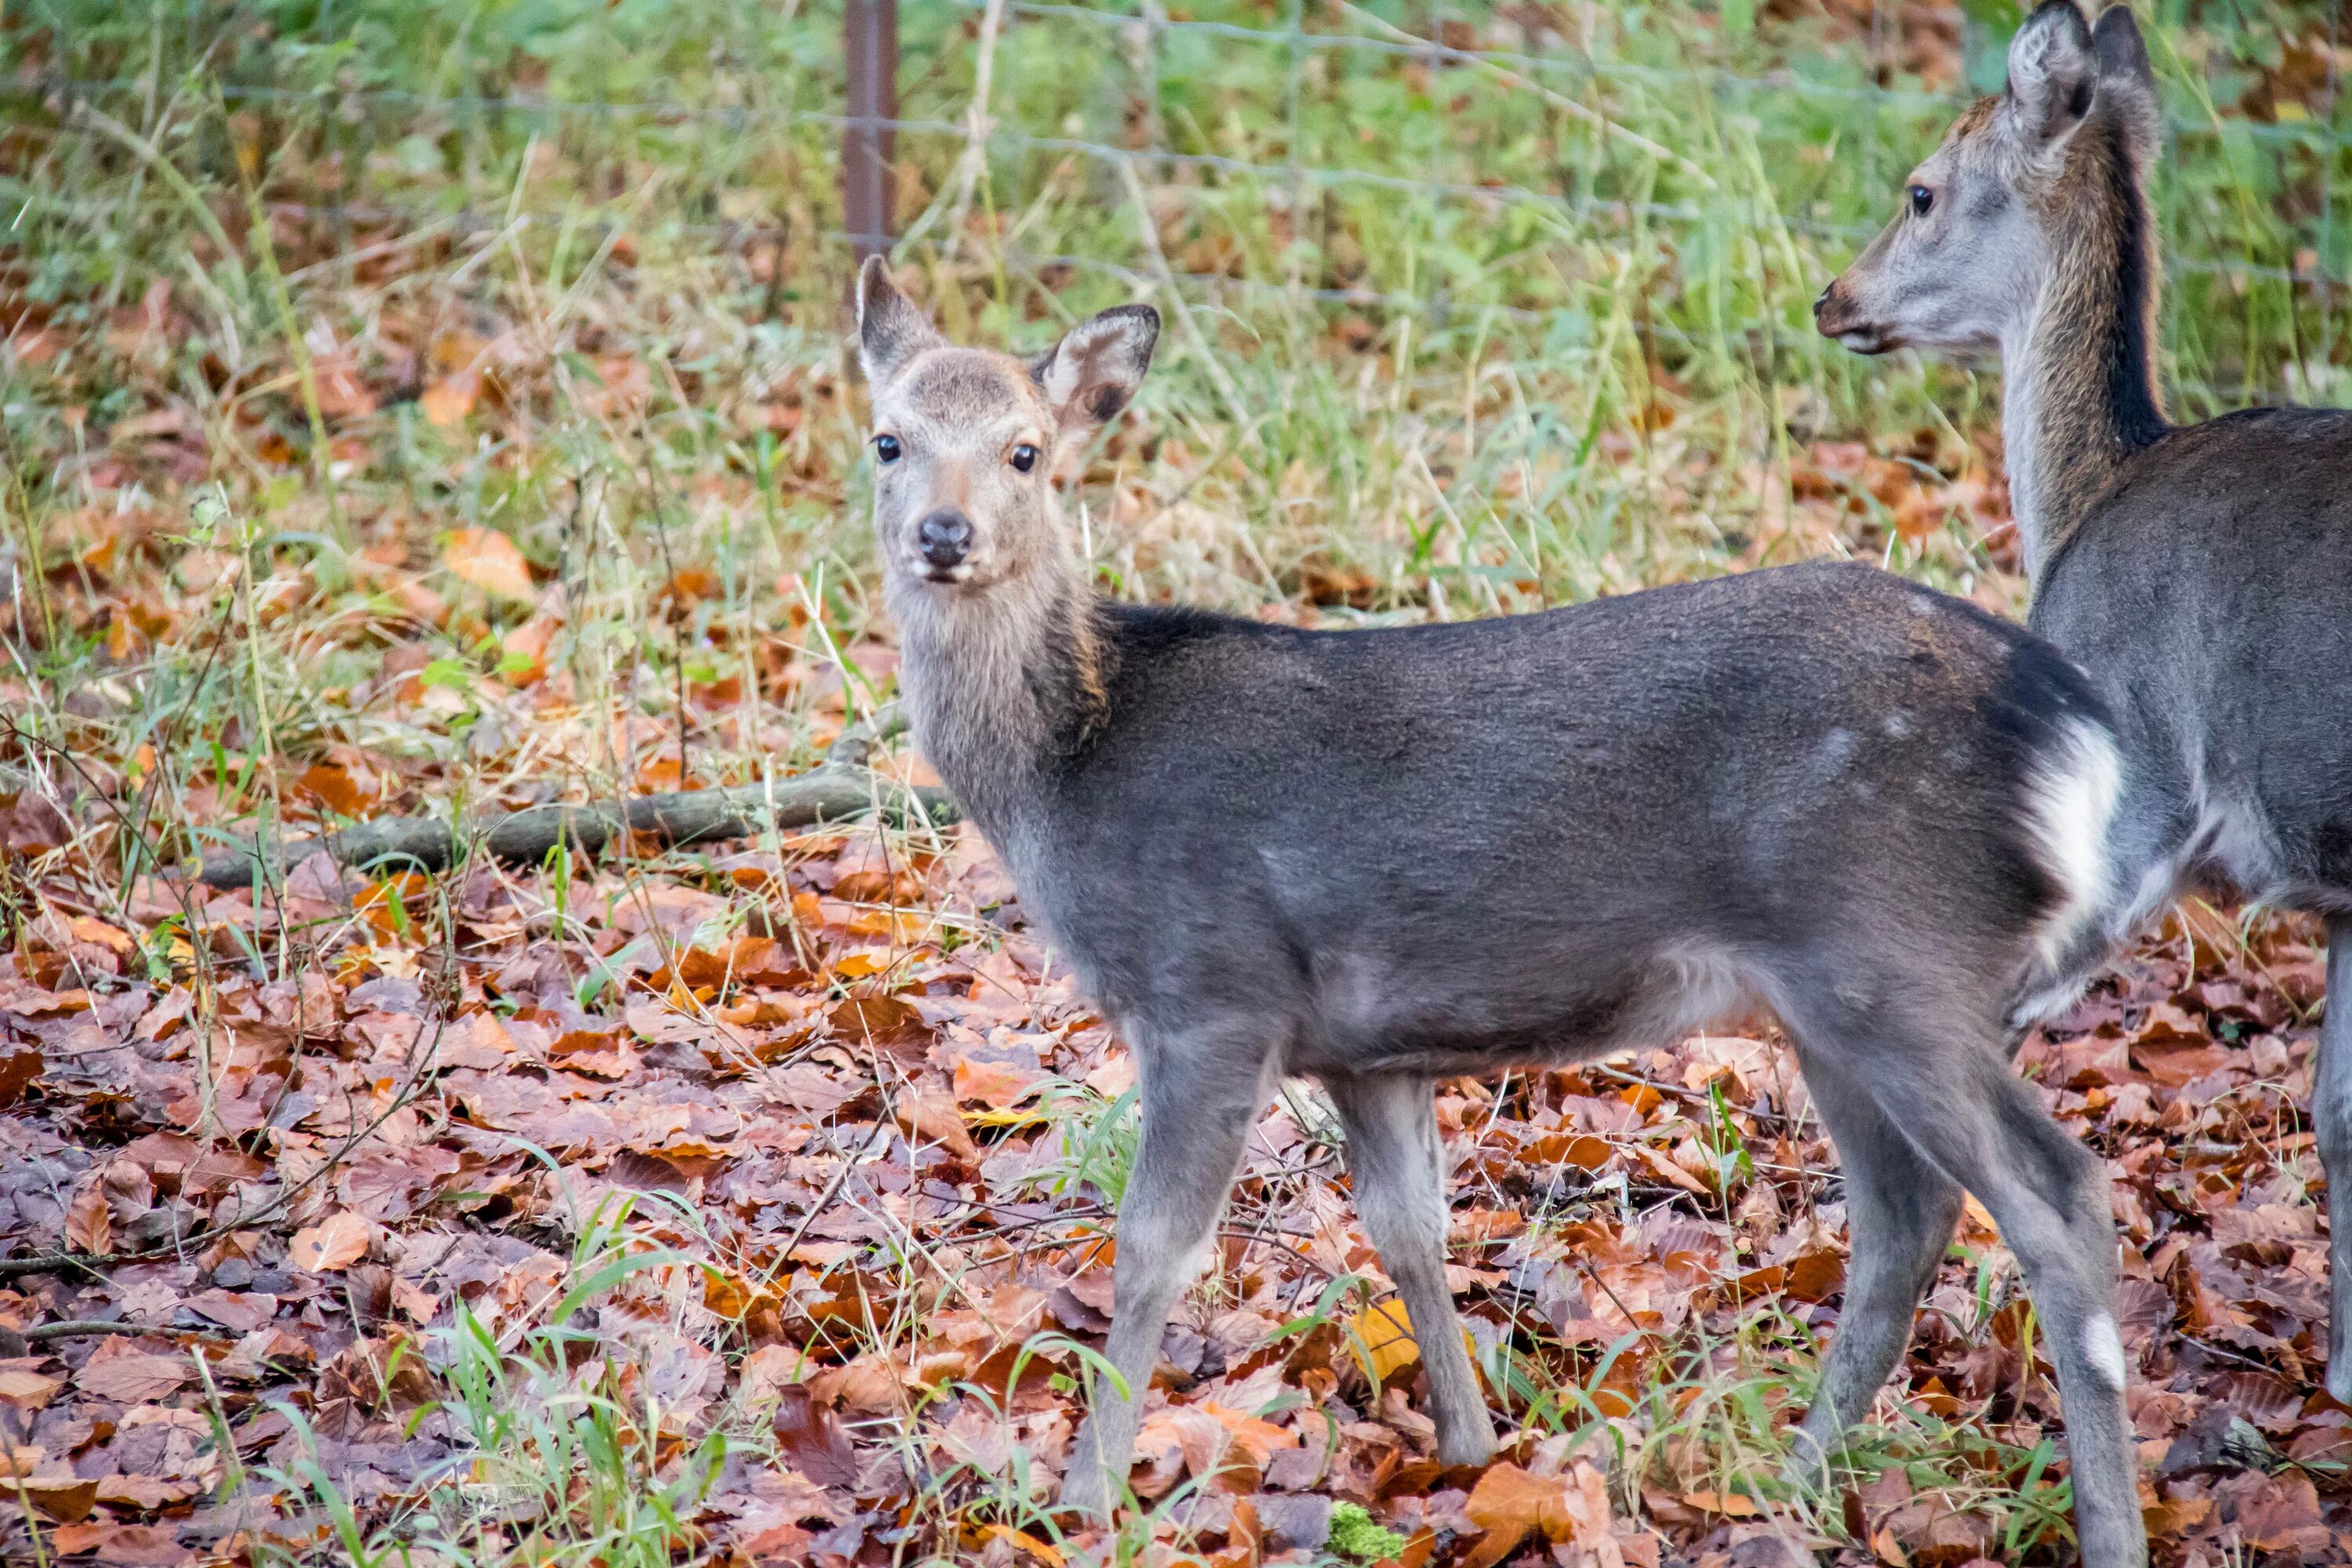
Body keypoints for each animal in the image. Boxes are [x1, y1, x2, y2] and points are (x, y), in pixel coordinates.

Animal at [866, 251, 2154, 1561]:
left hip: (1897, 956)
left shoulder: (1211, 993)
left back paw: (2099, 1523)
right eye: (889, 440)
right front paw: (1470, 1447)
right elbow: (1408, 1228)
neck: (1076, 763)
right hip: (1839, 998)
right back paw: (1791, 1476)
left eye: (1027, 451)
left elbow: (1151, 1251)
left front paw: (1084, 1499)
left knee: (2058, 1200)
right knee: (1907, 1218)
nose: (943, 533)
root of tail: (2077, 732)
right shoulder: (1367, 1047)